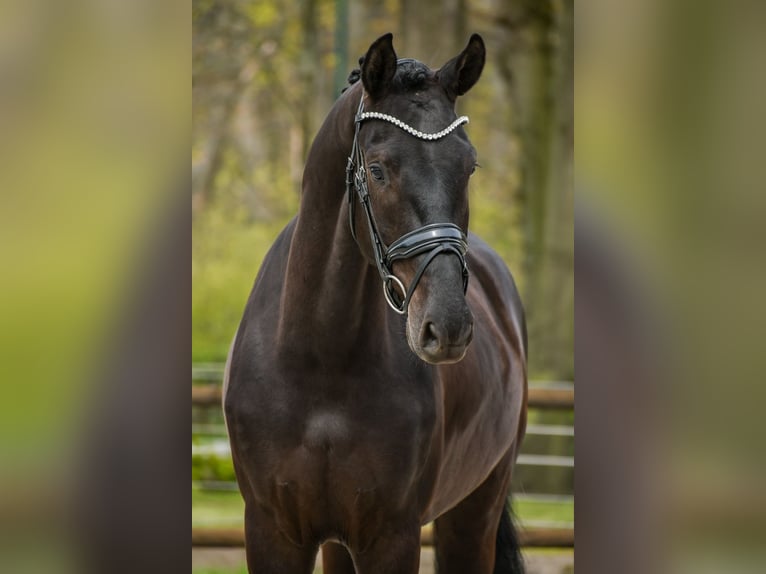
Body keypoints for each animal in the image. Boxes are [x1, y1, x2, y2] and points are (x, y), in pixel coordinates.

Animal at [224, 33, 528, 574]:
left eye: (469, 166)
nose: (447, 326)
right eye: (379, 169)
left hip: (475, 512)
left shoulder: (391, 537)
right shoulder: (273, 533)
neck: (321, 360)